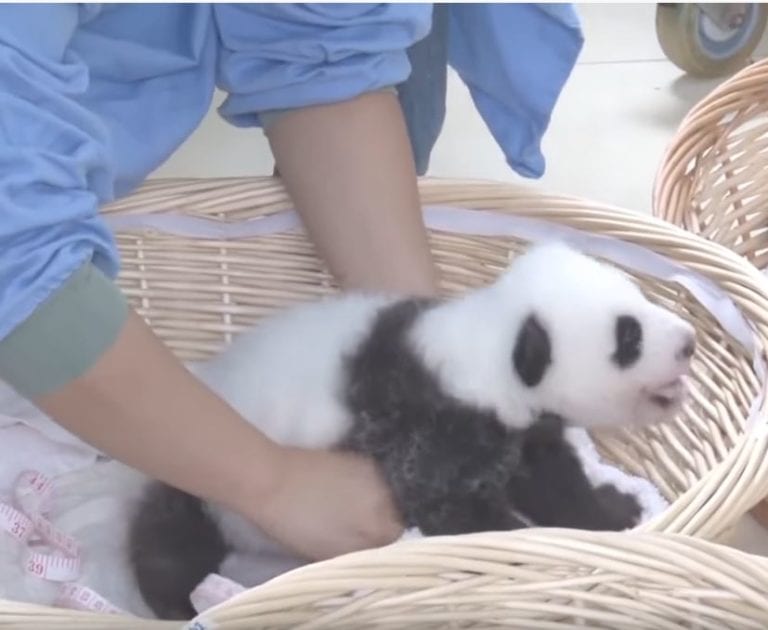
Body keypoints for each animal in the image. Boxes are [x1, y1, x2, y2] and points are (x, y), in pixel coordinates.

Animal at [0, 241, 695, 619]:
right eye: (628, 338)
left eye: (639, 302)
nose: (688, 342)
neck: (483, 346)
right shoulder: (427, 425)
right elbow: (454, 510)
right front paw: (521, 542)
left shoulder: (515, 427)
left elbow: (554, 478)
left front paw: (612, 514)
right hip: (200, 483)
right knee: (172, 542)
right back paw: (172, 600)